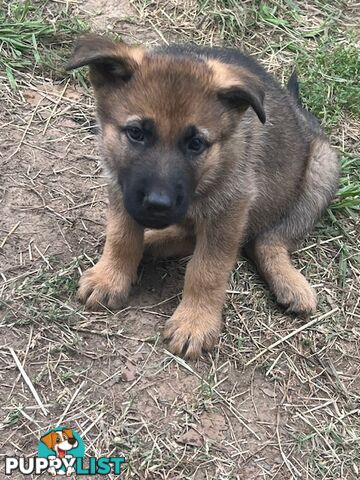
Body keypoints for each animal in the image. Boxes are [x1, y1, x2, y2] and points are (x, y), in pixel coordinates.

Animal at [66, 34, 338, 356]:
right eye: (136, 133)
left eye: (195, 143)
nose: (158, 205)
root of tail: (301, 114)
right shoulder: (122, 186)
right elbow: (121, 237)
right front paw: (110, 277)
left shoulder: (231, 207)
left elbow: (207, 269)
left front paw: (195, 322)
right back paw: (154, 241)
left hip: (322, 169)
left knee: (268, 240)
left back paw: (289, 281)